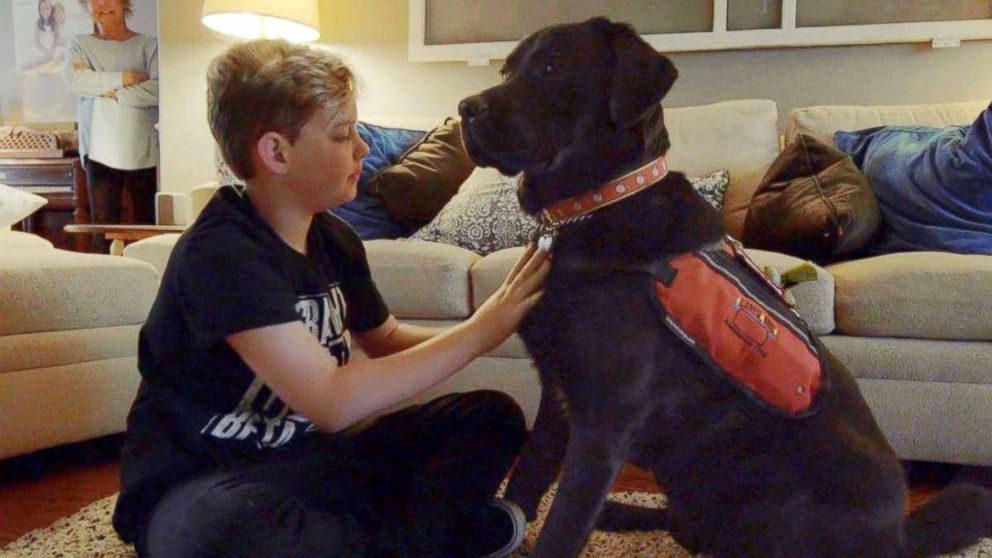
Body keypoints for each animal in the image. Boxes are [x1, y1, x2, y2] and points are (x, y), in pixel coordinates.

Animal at [460, 17, 992, 558]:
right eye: (506, 69)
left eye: (550, 68)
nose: (464, 109)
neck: (599, 204)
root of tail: (899, 539)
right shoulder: (558, 392)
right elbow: (528, 476)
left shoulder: (605, 418)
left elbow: (563, 523)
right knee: (684, 525)